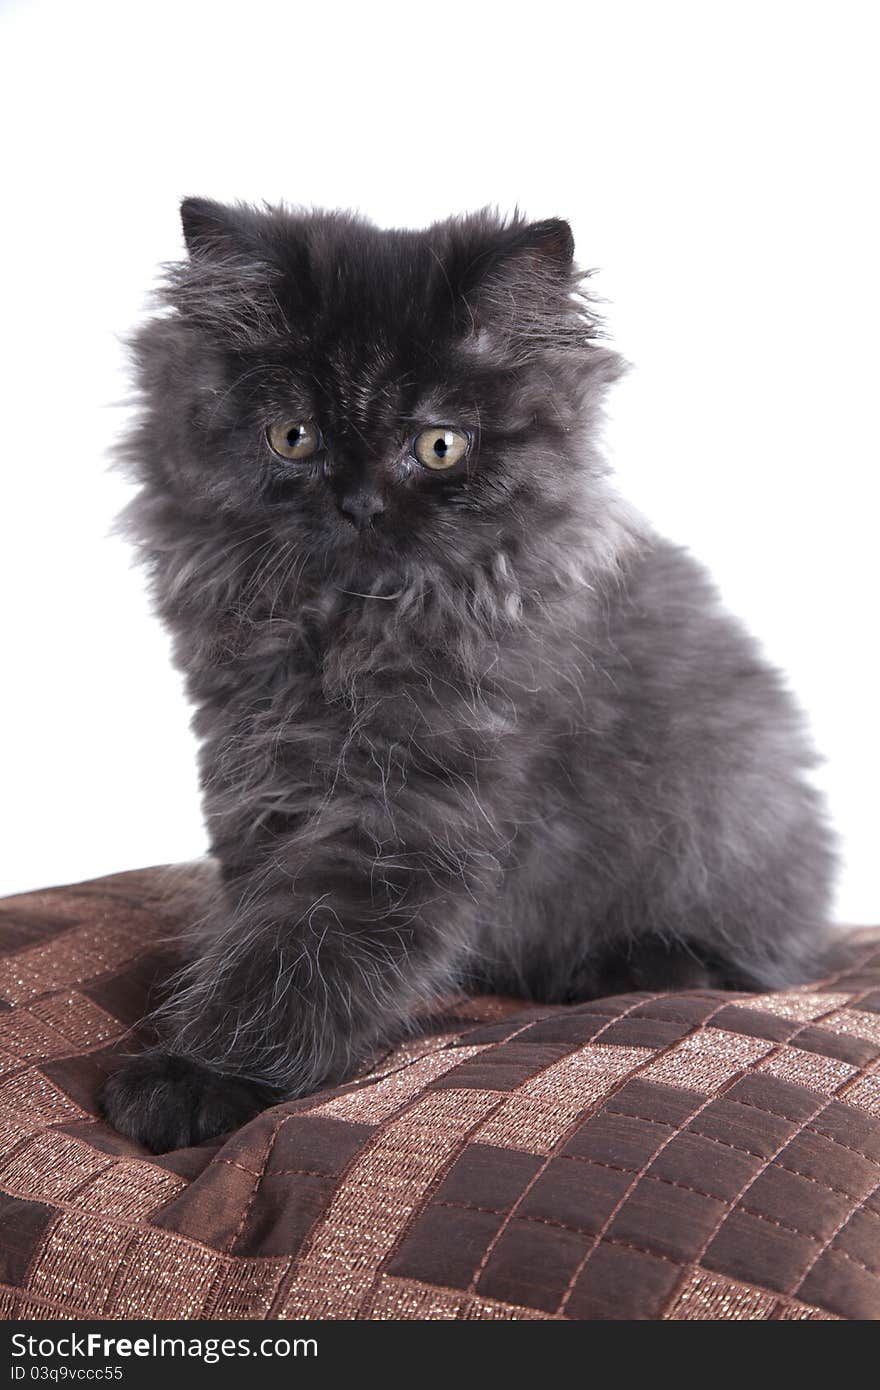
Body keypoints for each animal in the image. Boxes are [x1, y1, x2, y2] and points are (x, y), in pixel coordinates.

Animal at [98, 198, 828, 1150]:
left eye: (440, 446)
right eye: (294, 437)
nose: (359, 503)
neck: (343, 633)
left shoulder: (406, 820)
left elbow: (297, 956)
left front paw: (199, 1076)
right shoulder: (250, 771)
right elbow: (256, 921)